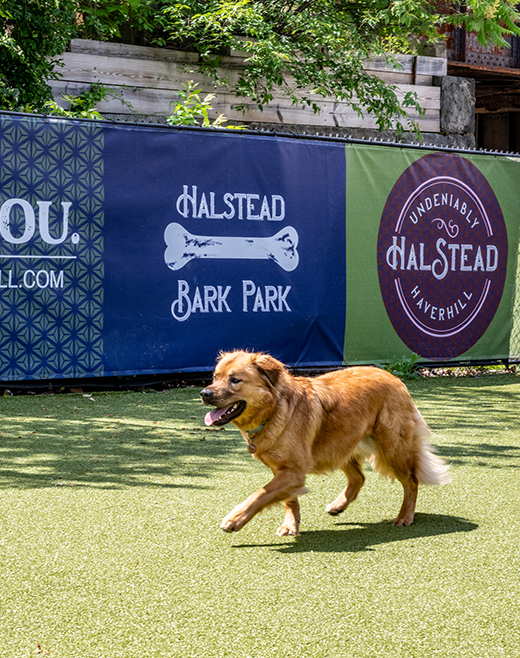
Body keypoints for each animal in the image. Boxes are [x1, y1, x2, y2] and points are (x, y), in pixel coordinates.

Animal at [200, 348, 450, 532]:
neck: (275, 409)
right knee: (358, 478)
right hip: (342, 444)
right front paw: (291, 525)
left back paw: (405, 516)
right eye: (214, 377)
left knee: (411, 481)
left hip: (392, 448)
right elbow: (288, 499)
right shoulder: (284, 471)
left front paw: (235, 518)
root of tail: (393, 377)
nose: (204, 393)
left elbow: (259, 495)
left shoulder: (292, 472)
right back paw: (339, 505)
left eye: (235, 380)